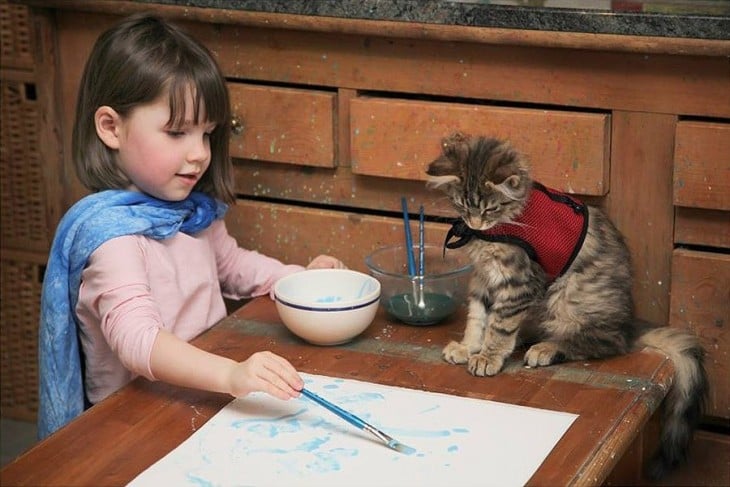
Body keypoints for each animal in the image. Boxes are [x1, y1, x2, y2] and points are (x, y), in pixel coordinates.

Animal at [426, 132, 704, 478]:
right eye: (463, 206)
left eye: (491, 208)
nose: (475, 223)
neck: (501, 228)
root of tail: (629, 322)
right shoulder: (483, 279)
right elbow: (477, 319)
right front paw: (468, 347)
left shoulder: (519, 283)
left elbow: (499, 326)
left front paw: (488, 356)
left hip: (567, 296)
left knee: (607, 342)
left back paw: (546, 349)